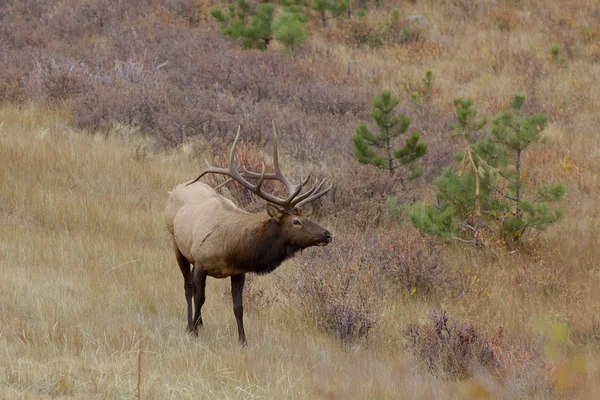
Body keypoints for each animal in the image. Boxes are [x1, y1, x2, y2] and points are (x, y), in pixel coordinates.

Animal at [164, 124, 332, 344]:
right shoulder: (201, 262)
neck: (232, 247)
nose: (327, 234)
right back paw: (190, 323)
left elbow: (238, 307)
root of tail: (174, 190)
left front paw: (242, 340)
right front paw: (193, 330)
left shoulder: (238, 272)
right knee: (188, 286)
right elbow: (201, 297)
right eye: (296, 222)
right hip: (177, 245)